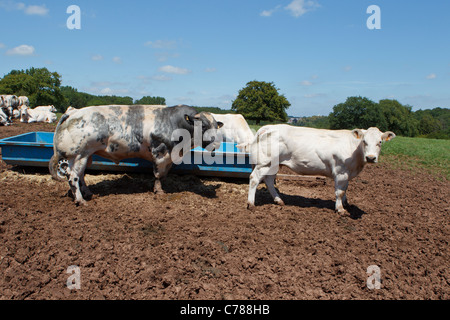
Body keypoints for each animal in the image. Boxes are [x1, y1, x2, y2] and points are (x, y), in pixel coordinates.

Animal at [49, 104, 223, 206]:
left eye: (216, 126)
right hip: (78, 155)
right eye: (203, 125)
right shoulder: (160, 153)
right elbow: (158, 175)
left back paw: (87, 193)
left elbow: (164, 175)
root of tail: (74, 112)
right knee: (73, 177)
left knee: (81, 175)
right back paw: (80, 200)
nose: (215, 144)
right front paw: (159, 191)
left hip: (86, 156)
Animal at [244, 125, 396, 215]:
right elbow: (340, 192)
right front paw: (340, 209)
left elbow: (345, 189)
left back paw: (279, 200)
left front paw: (346, 204)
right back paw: (251, 204)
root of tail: (268, 127)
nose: (370, 158)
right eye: (364, 141)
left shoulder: (347, 174)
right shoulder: (341, 172)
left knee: (269, 180)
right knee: (255, 178)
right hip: (265, 162)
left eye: (380, 142)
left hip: (274, 164)